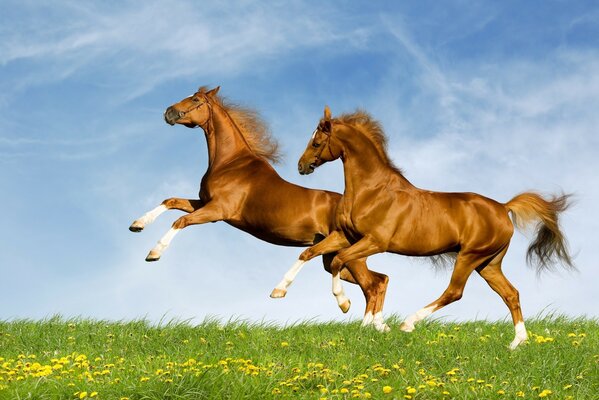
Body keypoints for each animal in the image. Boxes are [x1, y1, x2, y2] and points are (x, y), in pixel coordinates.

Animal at [128, 86, 390, 328]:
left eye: (195, 99)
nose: (168, 112)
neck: (230, 163)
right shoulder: (203, 203)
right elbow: (170, 201)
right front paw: (137, 224)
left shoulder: (217, 211)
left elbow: (180, 221)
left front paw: (154, 253)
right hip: (334, 257)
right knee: (380, 280)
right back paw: (377, 325)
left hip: (349, 256)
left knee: (372, 285)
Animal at [278, 104, 576, 348]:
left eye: (317, 142)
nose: (301, 166)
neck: (372, 190)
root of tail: (503, 207)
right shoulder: (346, 236)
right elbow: (308, 253)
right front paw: (278, 291)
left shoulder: (375, 242)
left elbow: (340, 261)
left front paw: (344, 304)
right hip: (489, 263)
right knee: (511, 294)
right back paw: (517, 343)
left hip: (470, 256)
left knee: (454, 292)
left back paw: (408, 323)